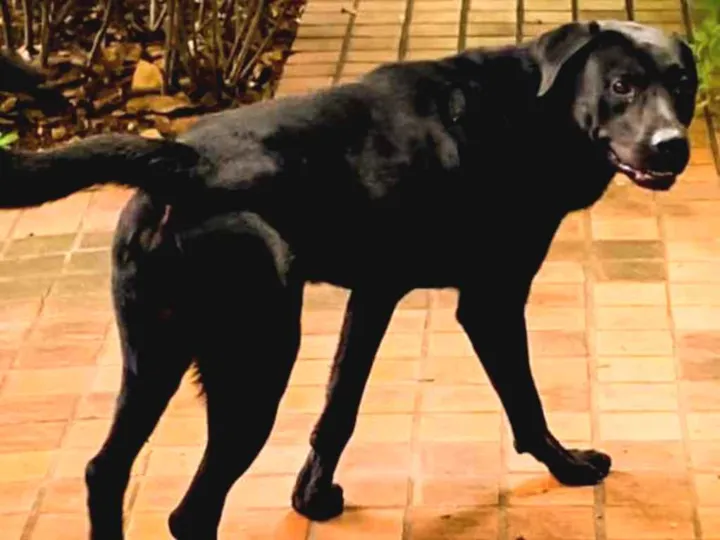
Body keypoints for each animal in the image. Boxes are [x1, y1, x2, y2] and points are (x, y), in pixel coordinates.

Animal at [0, 20, 698, 540]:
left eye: (683, 84)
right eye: (622, 85)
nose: (673, 146)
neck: (530, 110)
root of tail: (181, 161)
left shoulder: (375, 294)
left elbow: (339, 405)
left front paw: (311, 497)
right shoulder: (490, 301)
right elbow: (525, 402)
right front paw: (569, 466)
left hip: (154, 357)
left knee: (103, 471)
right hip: (258, 362)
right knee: (189, 514)